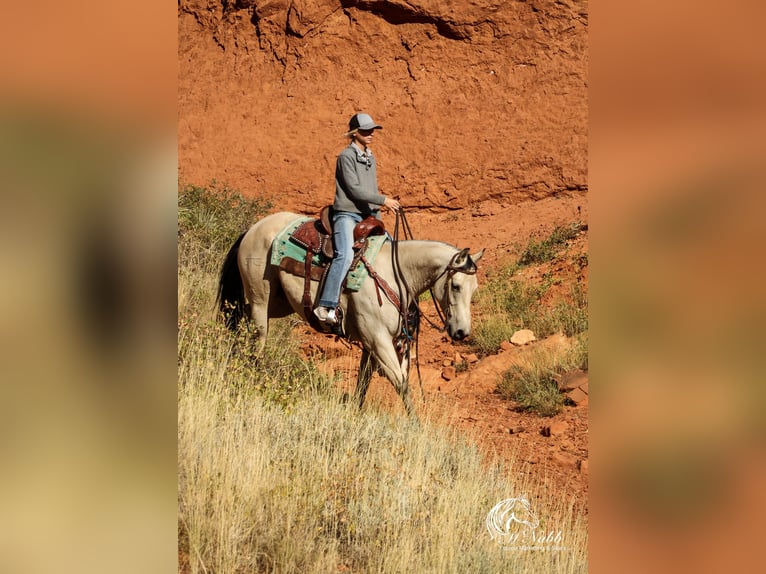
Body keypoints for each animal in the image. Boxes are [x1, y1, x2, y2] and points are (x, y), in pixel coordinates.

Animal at [216, 212, 484, 418]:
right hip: (260, 302)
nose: (462, 332)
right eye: (456, 286)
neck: (395, 275)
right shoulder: (378, 340)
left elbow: (363, 382)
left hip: (276, 304)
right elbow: (401, 382)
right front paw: (416, 425)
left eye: (474, 289)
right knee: (257, 342)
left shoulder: (372, 343)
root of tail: (252, 229)